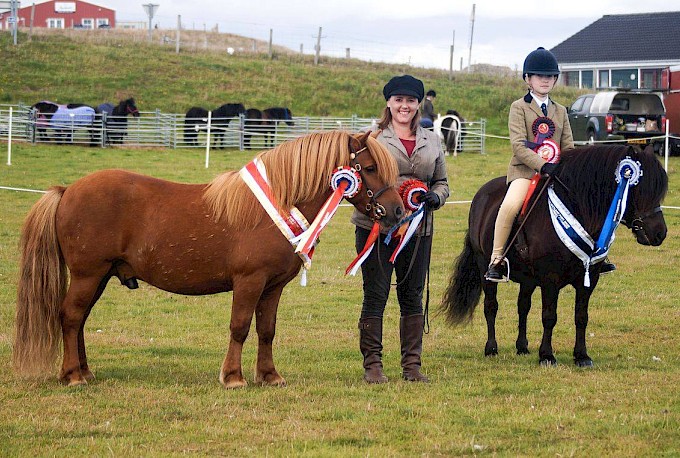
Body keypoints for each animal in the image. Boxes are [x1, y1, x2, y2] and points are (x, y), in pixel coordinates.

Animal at [11, 131, 404, 388]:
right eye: (369, 167)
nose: (398, 211)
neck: (275, 206)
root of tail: (67, 191)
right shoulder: (249, 281)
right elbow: (240, 326)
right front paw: (232, 377)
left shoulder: (272, 287)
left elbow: (267, 330)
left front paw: (269, 376)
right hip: (87, 274)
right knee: (71, 316)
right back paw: (73, 375)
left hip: (100, 276)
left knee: (78, 320)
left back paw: (83, 371)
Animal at [440, 145, 668, 366]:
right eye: (640, 189)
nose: (659, 233)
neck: (577, 210)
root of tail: (481, 194)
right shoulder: (550, 280)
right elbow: (549, 316)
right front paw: (547, 356)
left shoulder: (589, 279)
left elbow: (581, 316)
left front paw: (581, 356)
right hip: (484, 267)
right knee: (491, 306)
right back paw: (491, 349)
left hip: (528, 279)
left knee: (523, 306)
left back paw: (522, 347)